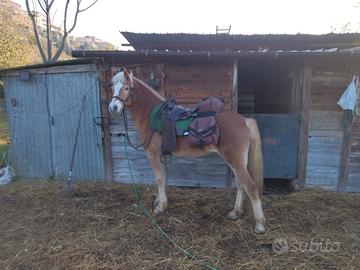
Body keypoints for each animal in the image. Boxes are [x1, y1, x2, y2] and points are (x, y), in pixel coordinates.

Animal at [108, 68, 266, 233]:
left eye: (126, 88)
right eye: (112, 87)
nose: (113, 108)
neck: (151, 115)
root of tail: (244, 120)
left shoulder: (153, 154)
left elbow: (159, 178)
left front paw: (160, 207)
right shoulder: (162, 155)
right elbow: (163, 178)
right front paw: (160, 200)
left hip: (235, 161)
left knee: (251, 187)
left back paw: (259, 224)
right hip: (237, 162)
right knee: (241, 185)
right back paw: (235, 212)